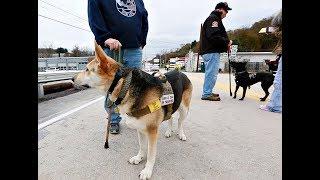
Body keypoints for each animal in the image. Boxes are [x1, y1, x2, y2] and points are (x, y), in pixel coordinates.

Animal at [73, 41, 192, 179]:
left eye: (87, 69)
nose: (72, 79)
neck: (124, 85)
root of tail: (180, 72)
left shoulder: (152, 131)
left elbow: (151, 154)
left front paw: (147, 170)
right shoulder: (140, 128)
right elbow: (142, 147)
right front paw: (139, 158)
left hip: (184, 109)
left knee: (180, 121)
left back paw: (181, 134)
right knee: (171, 117)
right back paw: (168, 131)